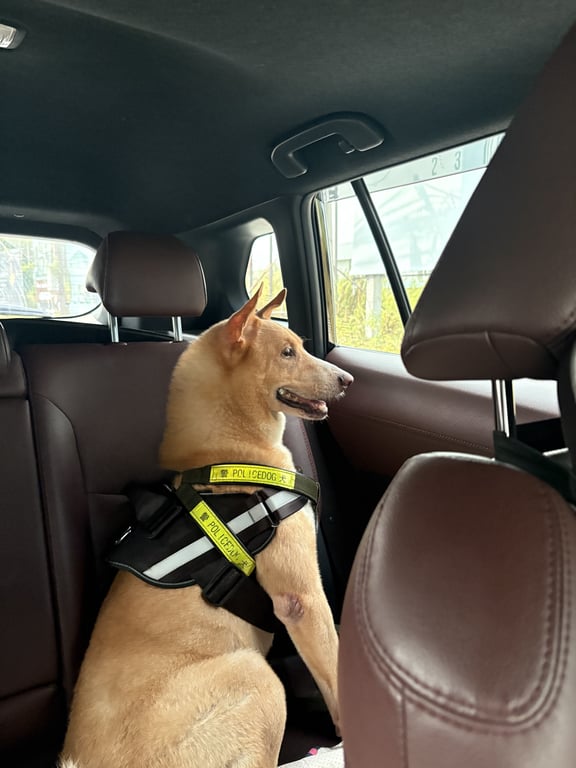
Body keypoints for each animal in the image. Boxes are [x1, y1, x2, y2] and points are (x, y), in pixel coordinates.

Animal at [59, 286, 353, 768]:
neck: (225, 455)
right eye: (287, 353)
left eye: (302, 345)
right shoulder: (301, 599)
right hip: (258, 678)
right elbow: (333, 667)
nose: (348, 379)